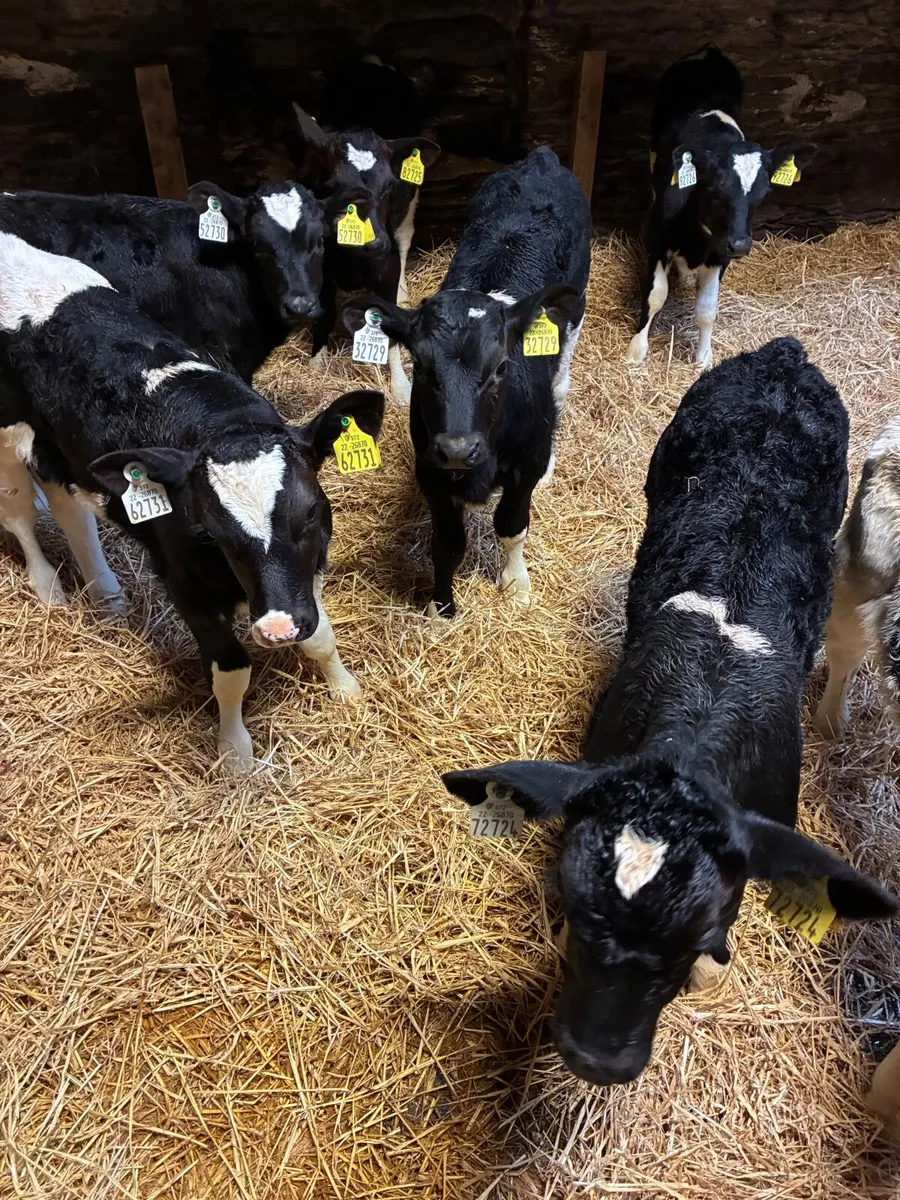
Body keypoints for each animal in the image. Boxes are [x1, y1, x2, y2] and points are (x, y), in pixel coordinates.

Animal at [0, 231, 384, 772]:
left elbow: (320, 634)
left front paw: (346, 689)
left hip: (60, 446)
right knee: (17, 507)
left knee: (66, 502)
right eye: (212, 531)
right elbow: (231, 670)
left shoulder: (304, 574)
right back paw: (48, 587)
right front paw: (235, 753)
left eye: (311, 512)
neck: (217, 420)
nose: (278, 630)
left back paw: (106, 592)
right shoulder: (186, 585)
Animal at [292, 67, 441, 404]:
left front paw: (401, 387)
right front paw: (316, 362)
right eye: (332, 187)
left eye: (389, 186)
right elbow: (324, 313)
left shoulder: (386, 262)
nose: (374, 243)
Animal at [343, 146, 591, 618]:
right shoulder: (431, 470)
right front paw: (441, 608)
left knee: (562, 383)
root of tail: (541, 159)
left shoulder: (523, 468)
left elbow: (511, 526)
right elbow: (447, 544)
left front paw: (515, 585)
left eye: (501, 368)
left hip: (574, 313)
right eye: (421, 367)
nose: (459, 449)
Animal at [626, 47, 816, 368]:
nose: (740, 244)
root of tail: (708, 52)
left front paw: (704, 357)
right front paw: (636, 351)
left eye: (763, 194)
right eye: (715, 191)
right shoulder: (659, 239)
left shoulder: (720, 254)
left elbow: (707, 308)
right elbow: (656, 294)